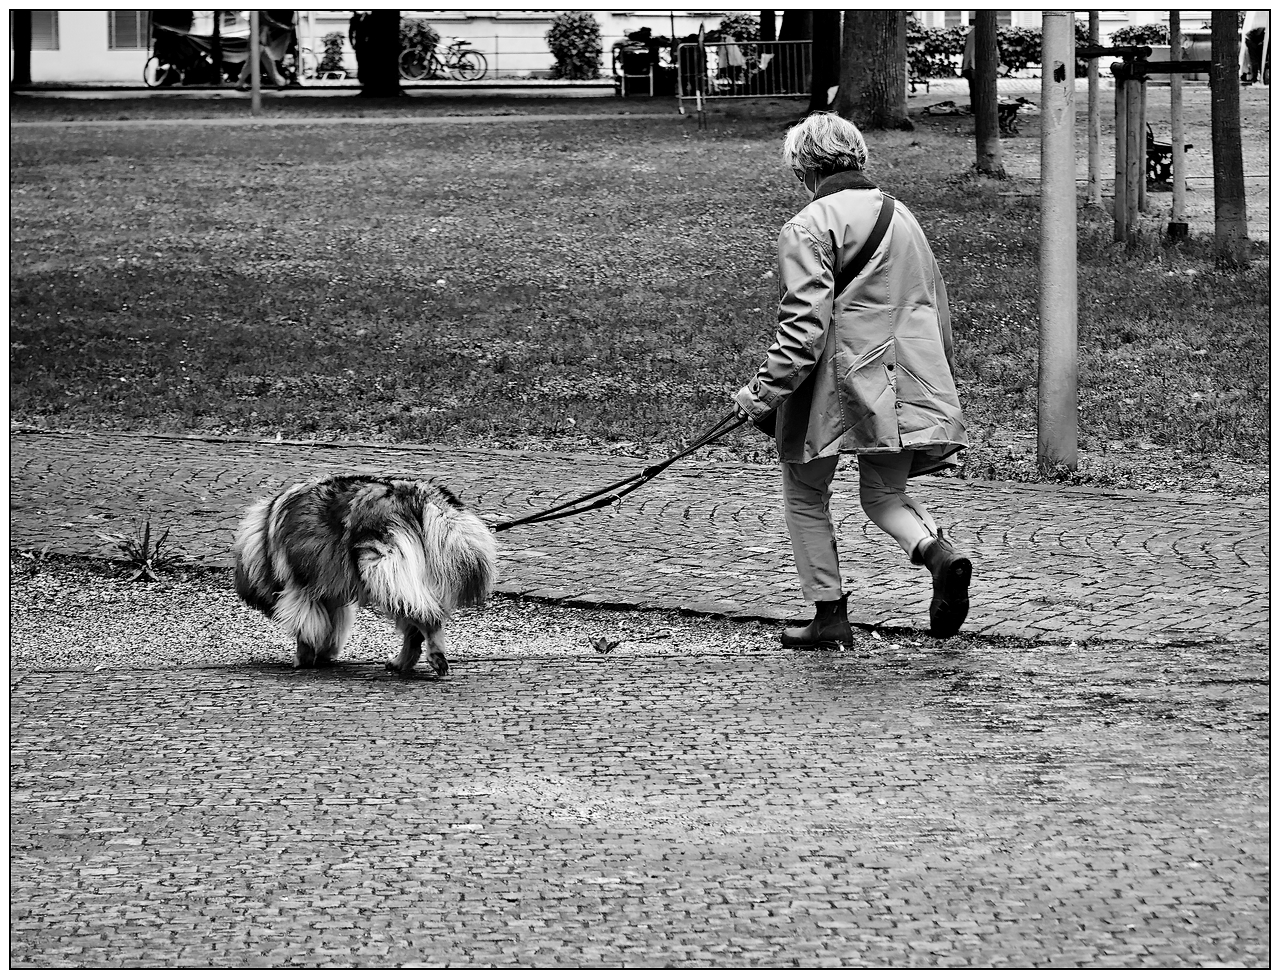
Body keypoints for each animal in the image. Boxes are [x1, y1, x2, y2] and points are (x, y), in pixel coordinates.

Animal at [232, 476, 496, 675]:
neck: (264, 539)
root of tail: (417, 495)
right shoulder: (329, 588)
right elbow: (330, 624)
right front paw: (325, 652)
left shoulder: (301, 588)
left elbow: (306, 623)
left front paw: (303, 657)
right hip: (411, 576)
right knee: (415, 623)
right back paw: (401, 662)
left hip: (380, 569)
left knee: (425, 619)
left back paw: (435, 655)